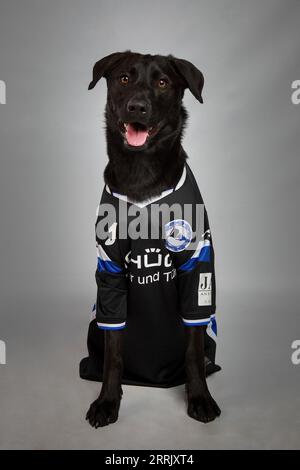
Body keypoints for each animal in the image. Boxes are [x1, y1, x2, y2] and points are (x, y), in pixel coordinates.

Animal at [81, 50, 221, 426]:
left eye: (162, 82)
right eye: (124, 79)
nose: (138, 107)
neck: (141, 172)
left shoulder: (196, 268)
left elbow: (192, 349)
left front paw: (199, 398)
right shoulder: (110, 272)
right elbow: (114, 353)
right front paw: (107, 401)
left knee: (203, 352)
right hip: (93, 325)